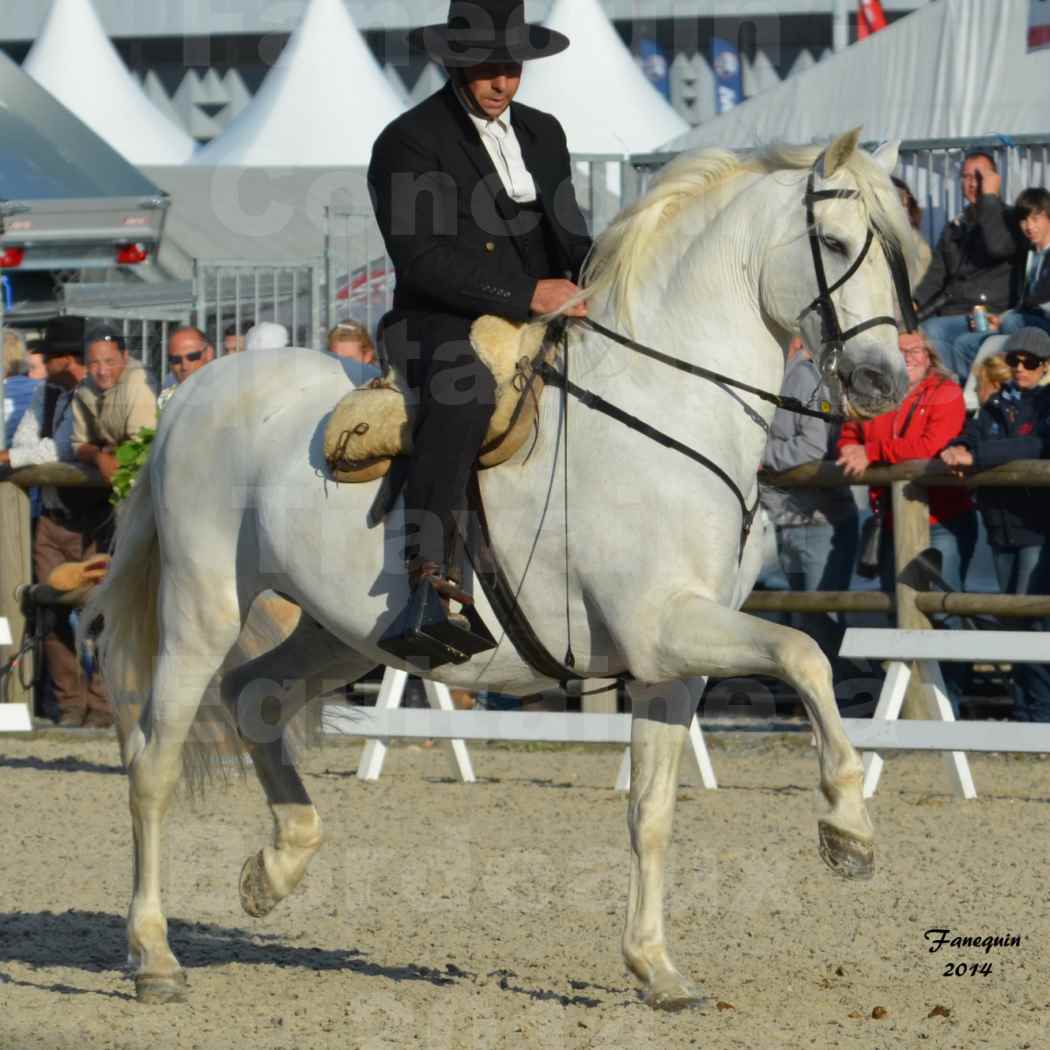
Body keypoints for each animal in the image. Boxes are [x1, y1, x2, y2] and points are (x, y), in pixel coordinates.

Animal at [90, 129, 911, 1007]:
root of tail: (191, 393)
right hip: (202, 611)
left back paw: (275, 869)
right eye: (833, 243)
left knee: (257, 695)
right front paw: (848, 828)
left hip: (344, 632)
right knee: (153, 764)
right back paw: (154, 956)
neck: (668, 408)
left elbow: (652, 811)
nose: (884, 380)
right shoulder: (666, 629)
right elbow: (805, 654)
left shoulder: (672, 665)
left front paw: (657, 968)